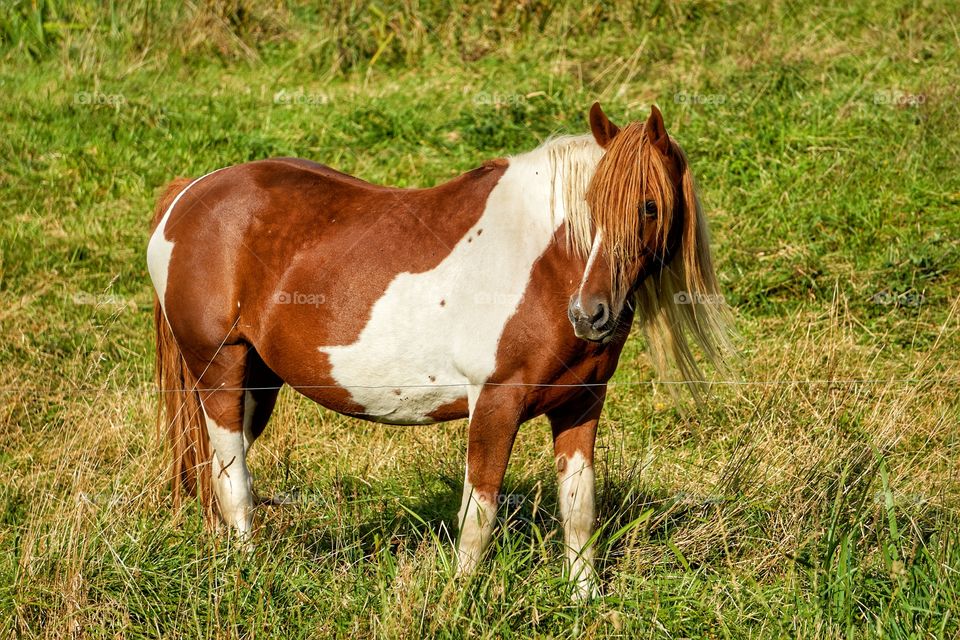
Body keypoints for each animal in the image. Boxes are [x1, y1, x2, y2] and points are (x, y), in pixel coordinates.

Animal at [147, 102, 730, 599]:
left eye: (649, 207)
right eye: (589, 206)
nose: (590, 315)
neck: (545, 264)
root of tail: (185, 196)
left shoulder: (581, 403)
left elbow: (580, 508)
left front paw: (583, 601)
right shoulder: (495, 402)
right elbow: (479, 513)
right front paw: (462, 596)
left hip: (258, 381)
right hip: (220, 369)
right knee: (232, 479)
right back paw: (247, 573)